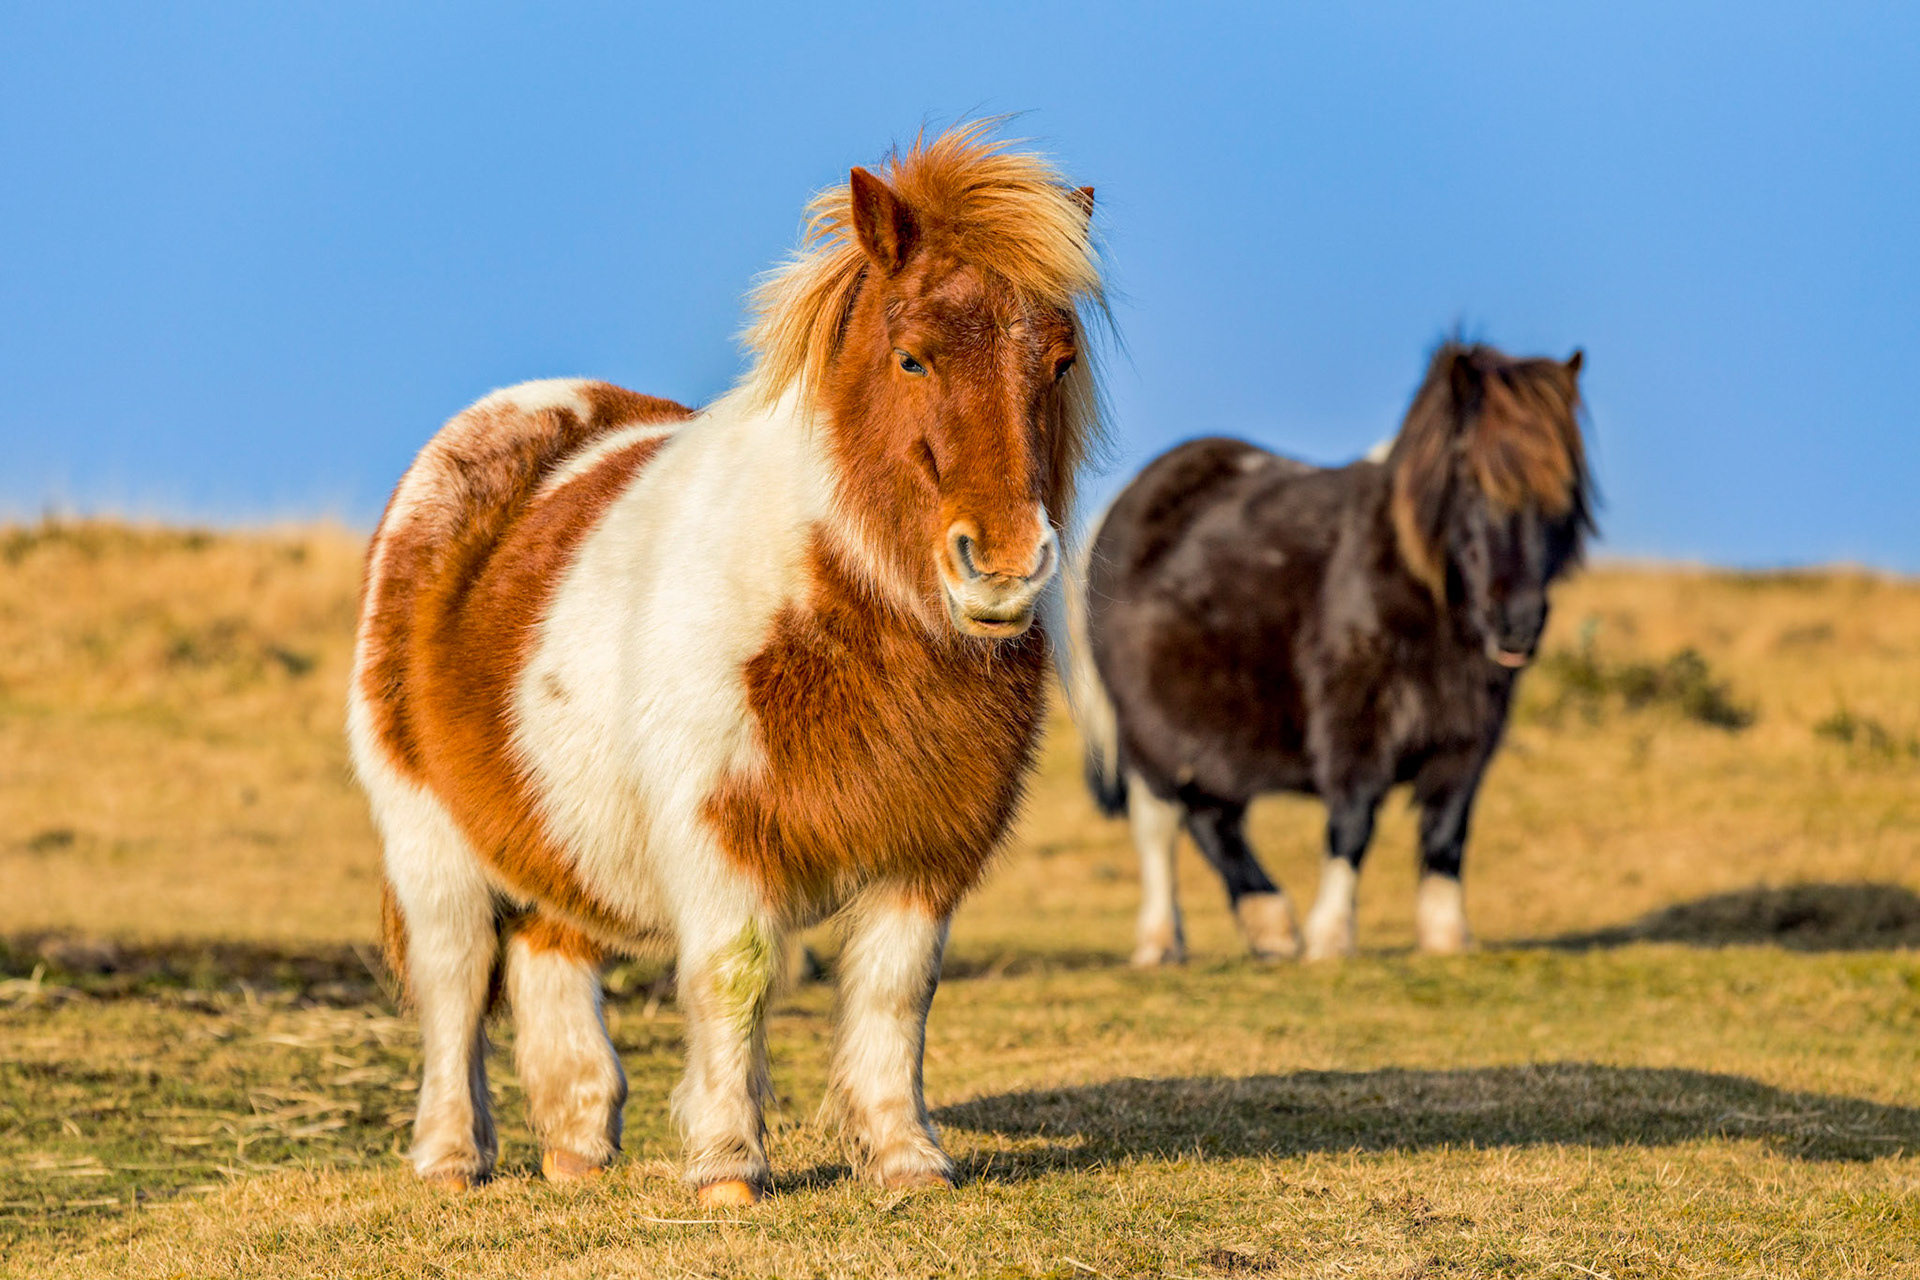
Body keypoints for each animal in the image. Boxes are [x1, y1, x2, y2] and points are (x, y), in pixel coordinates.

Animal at [347, 125, 1107, 1206]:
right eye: (911, 357)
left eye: (1058, 358)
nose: (1001, 565)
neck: (829, 600)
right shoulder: (716, 831)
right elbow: (735, 973)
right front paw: (726, 1168)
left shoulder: (928, 845)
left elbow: (896, 990)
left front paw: (906, 1156)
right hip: (428, 834)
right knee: (455, 980)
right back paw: (453, 1158)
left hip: (551, 824)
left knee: (549, 953)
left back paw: (578, 1150)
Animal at [1061, 342, 1592, 966]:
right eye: (1466, 472)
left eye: (1566, 485)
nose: (1518, 625)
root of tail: (1124, 506)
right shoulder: (1354, 722)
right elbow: (1353, 822)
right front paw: (1331, 938)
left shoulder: (1468, 738)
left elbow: (1447, 834)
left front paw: (1446, 939)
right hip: (1147, 738)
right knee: (1159, 827)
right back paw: (1163, 943)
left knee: (1213, 816)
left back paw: (1270, 928)